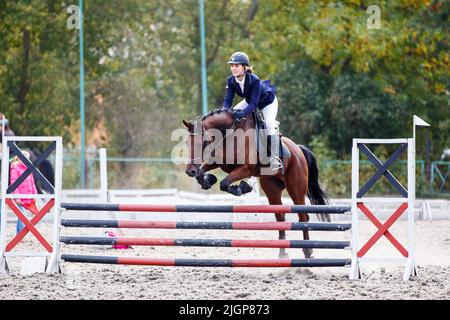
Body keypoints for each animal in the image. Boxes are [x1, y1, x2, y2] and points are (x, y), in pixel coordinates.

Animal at [182, 109, 330, 258]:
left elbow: (224, 183)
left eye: (203, 142)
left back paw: (307, 251)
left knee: (303, 216)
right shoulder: (217, 162)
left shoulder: (245, 169)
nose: (190, 171)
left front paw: (242, 187)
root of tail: (299, 149)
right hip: (272, 189)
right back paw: (282, 253)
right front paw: (208, 180)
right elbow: (202, 175)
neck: (228, 134)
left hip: (296, 188)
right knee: (280, 217)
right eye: (187, 142)